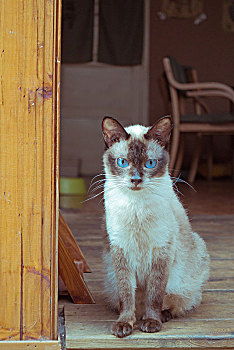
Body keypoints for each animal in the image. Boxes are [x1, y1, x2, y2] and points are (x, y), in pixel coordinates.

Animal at [101, 116, 209, 338]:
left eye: (150, 163)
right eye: (123, 162)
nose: (135, 180)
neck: (136, 206)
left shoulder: (162, 249)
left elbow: (155, 294)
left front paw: (152, 323)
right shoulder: (120, 250)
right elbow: (126, 294)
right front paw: (124, 325)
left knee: (178, 300)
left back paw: (160, 316)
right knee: (130, 301)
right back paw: (137, 316)